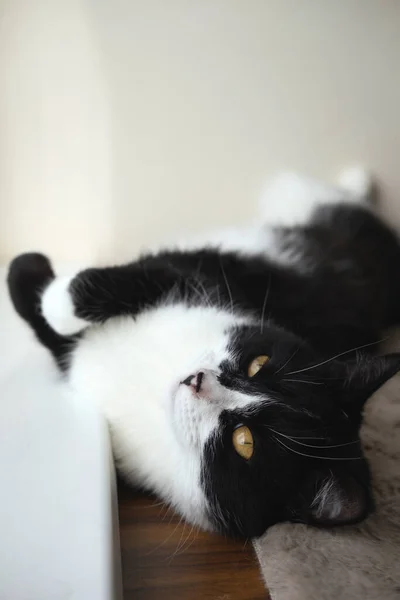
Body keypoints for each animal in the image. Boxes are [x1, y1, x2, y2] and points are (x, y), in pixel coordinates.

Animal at [7, 169, 400, 540]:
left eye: (244, 442)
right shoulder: (193, 274)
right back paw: (355, 179)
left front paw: (41, 285)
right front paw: (35, 272)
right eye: (258, 365)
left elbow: (53, 312)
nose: (197, 379)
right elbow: (87, 286)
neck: (155, 385)